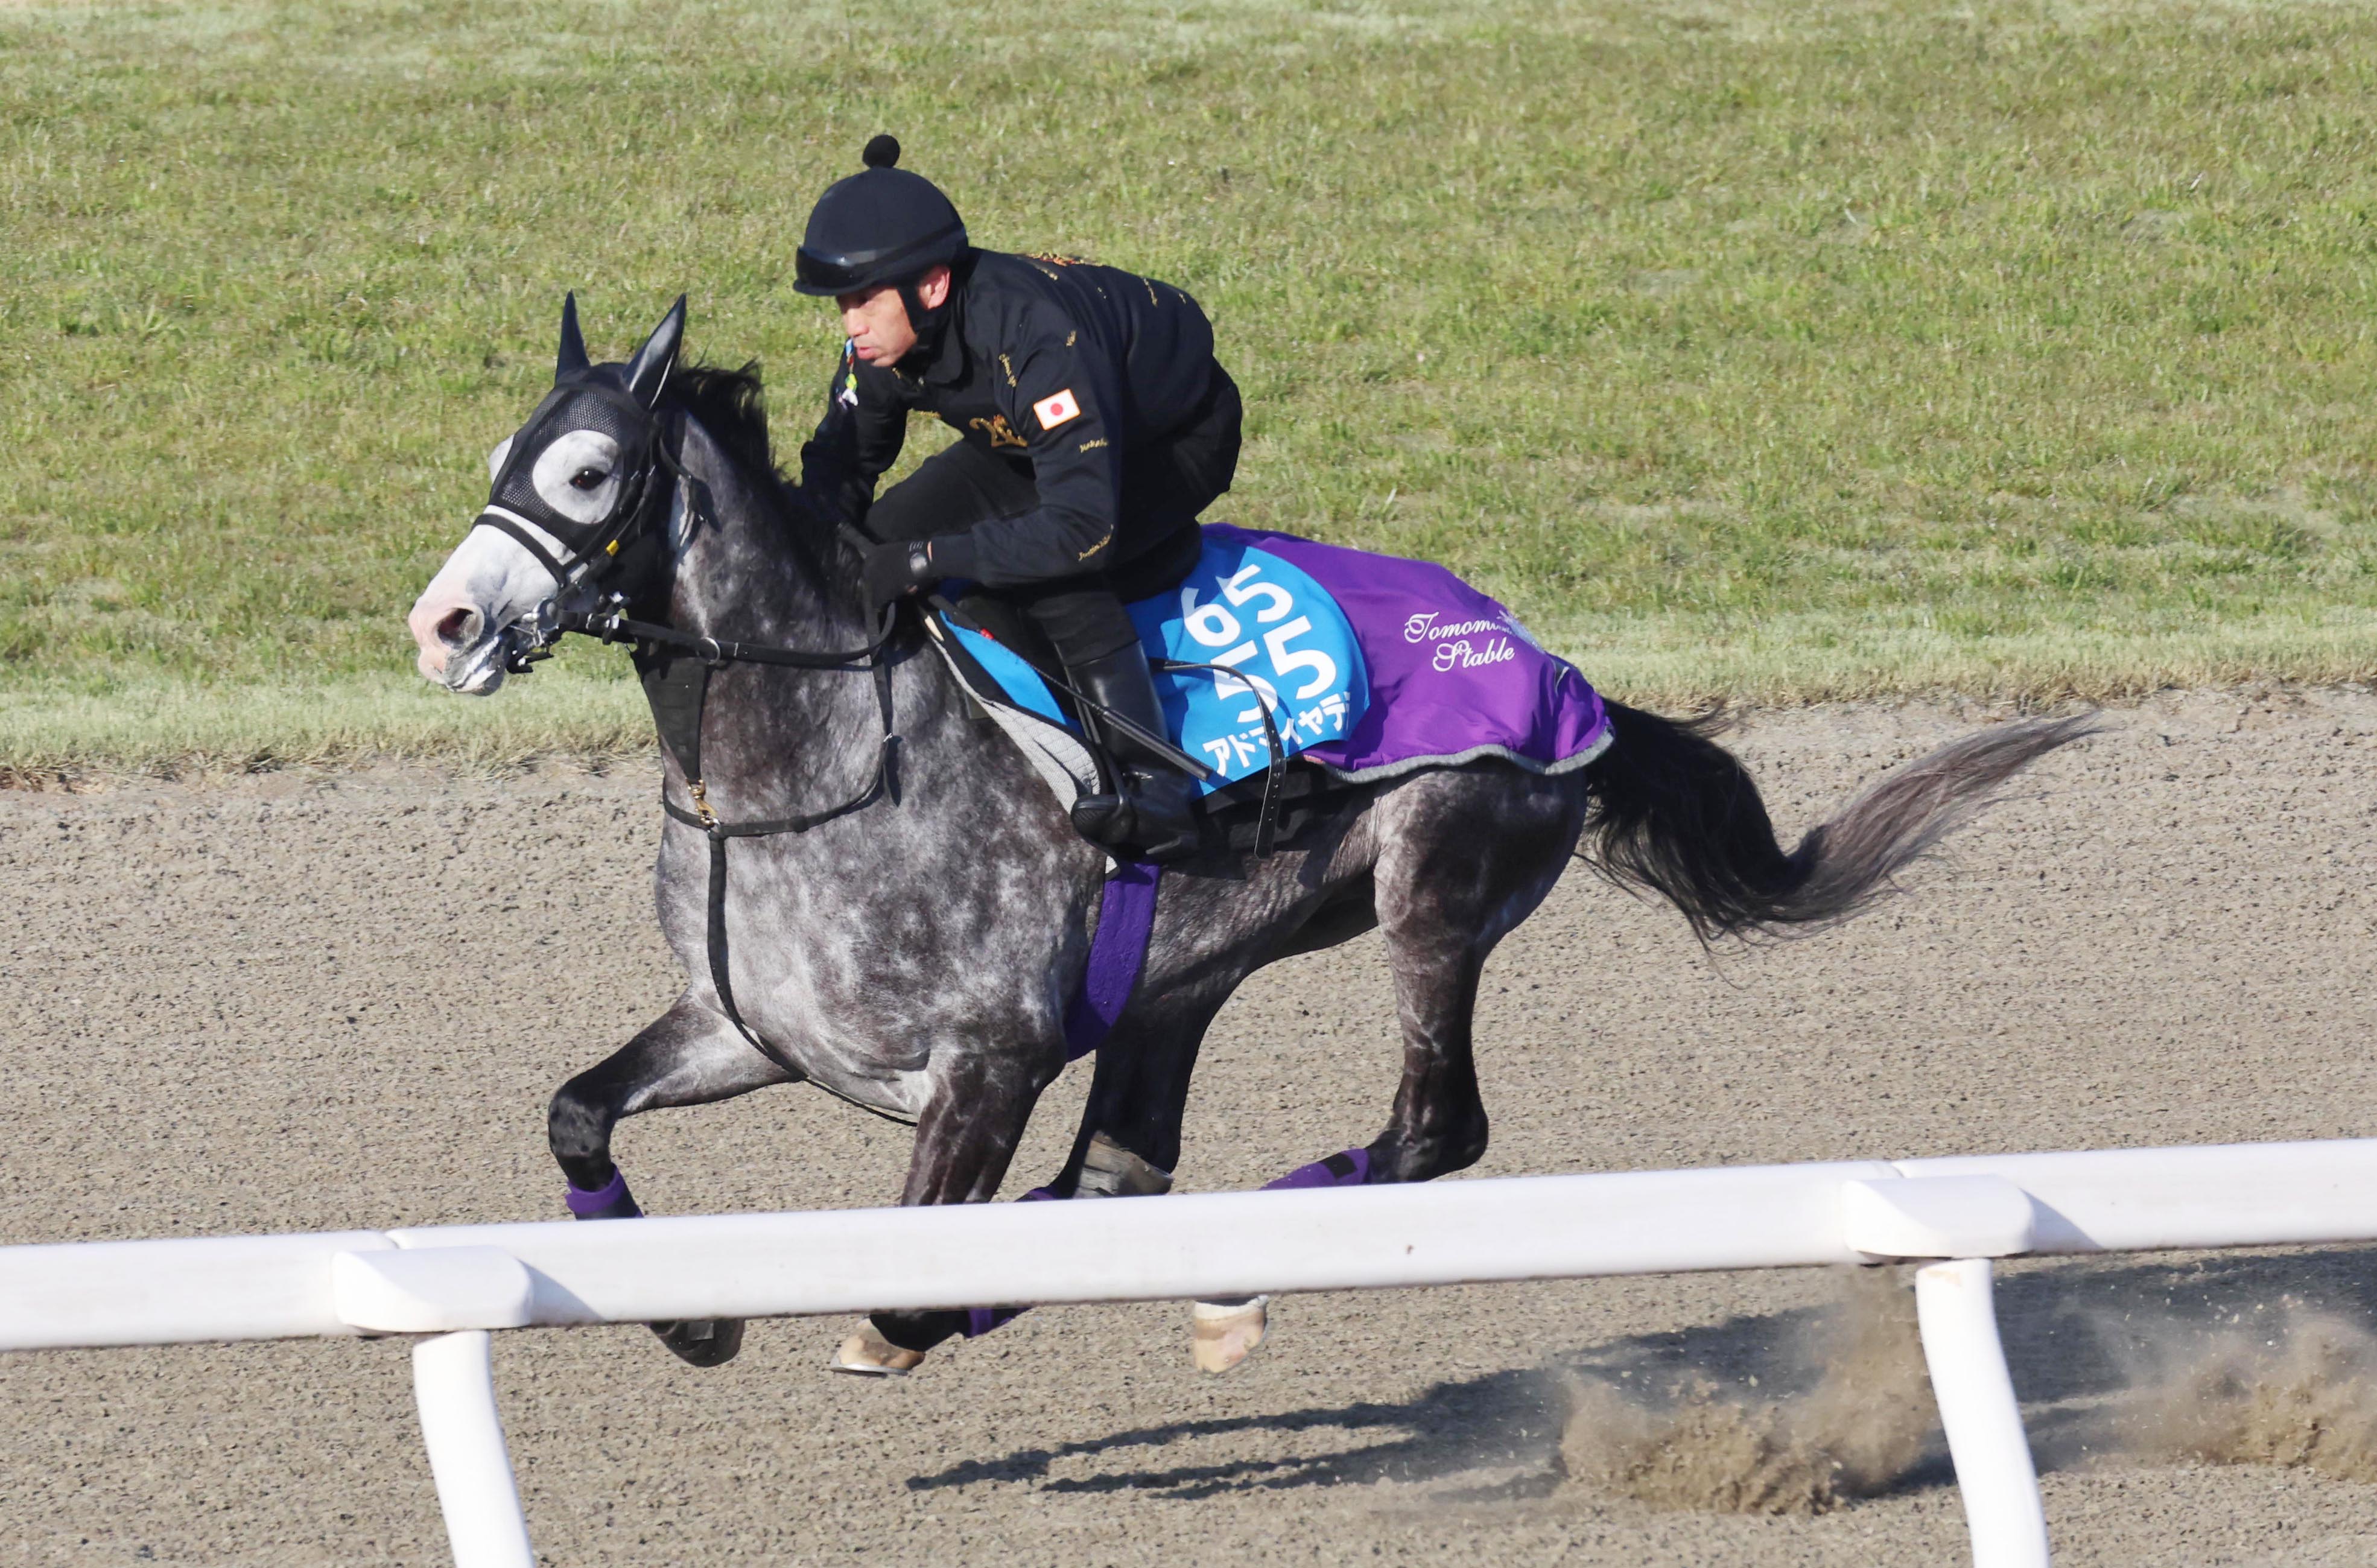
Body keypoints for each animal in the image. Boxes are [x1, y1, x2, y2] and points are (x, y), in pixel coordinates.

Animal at [406, 298, 2089, 1375]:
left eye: (585, 471)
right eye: (497, 455)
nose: (443, 624)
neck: (811, 757)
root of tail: (1562, 676)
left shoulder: (986, 1063)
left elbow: (913, 1261)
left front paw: (896, 1322)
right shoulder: (744, 1023)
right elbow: (578, 1113)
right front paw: (687, 1311)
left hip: (1433, 885)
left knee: (1428, 1131)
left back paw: (1232, 1291)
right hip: (1184, 970)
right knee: (1128, 1171)